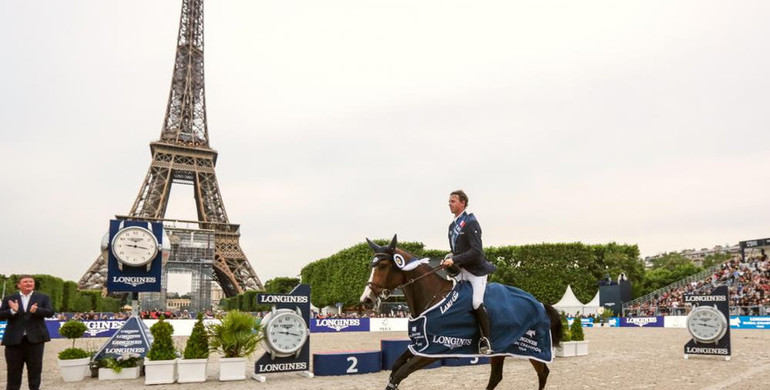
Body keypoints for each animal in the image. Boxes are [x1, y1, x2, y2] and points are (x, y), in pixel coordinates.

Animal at [356, 235, 560, 390]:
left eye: (383, 266)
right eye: (370, 266)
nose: (366, 300)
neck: (432, 297)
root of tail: (539, 303)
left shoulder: (433, 350)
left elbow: (400, 374)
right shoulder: (420, 345)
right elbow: (395, 369)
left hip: (533, 348)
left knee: (543, 372)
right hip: (502, 349)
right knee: (497, 377)